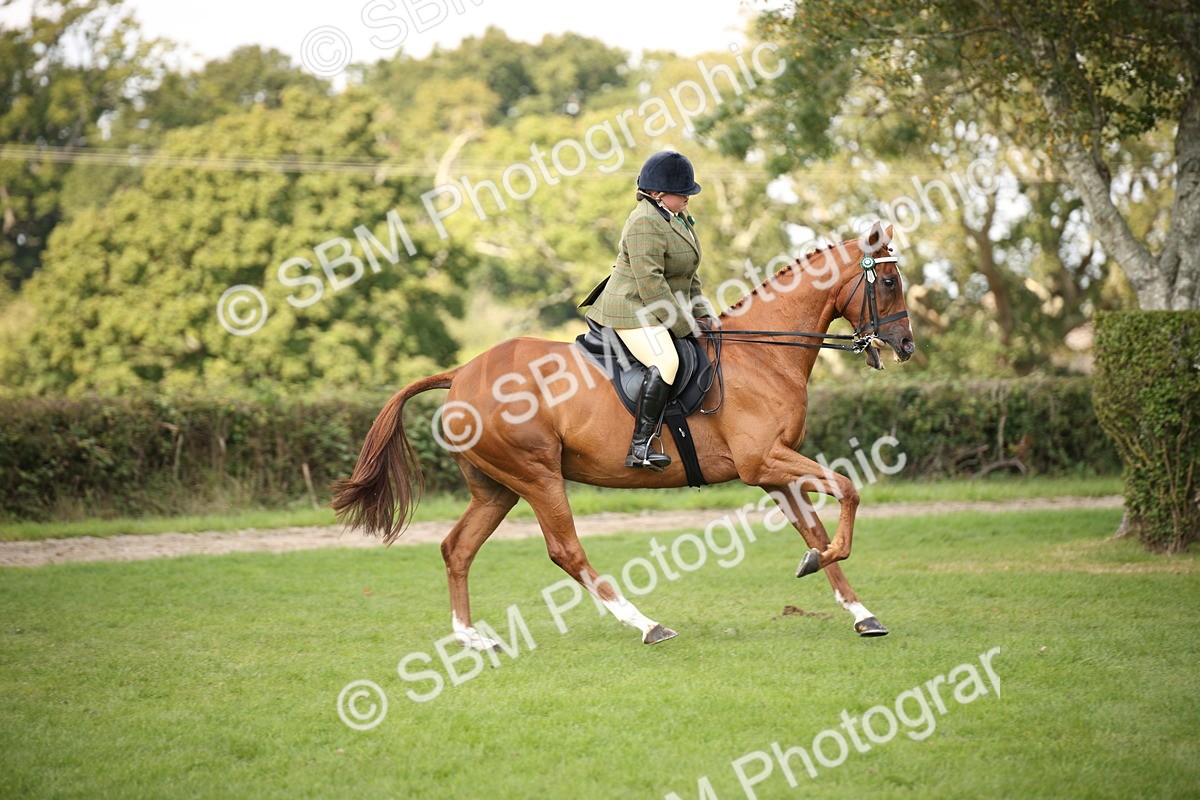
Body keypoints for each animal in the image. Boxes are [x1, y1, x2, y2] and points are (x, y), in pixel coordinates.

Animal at [332, 221, 916, 648]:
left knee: (457, 549)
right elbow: (849, 489)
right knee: (565, 551)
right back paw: (646, 624)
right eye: (888, 282)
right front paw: (828, 562)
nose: (907, 345)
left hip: (496, 488)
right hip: (537, 476)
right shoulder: (763, 462)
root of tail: (461, 374)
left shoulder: (776, 468)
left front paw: (858, 609)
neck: (763, 353)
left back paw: (471, 638)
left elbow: (813, 528)